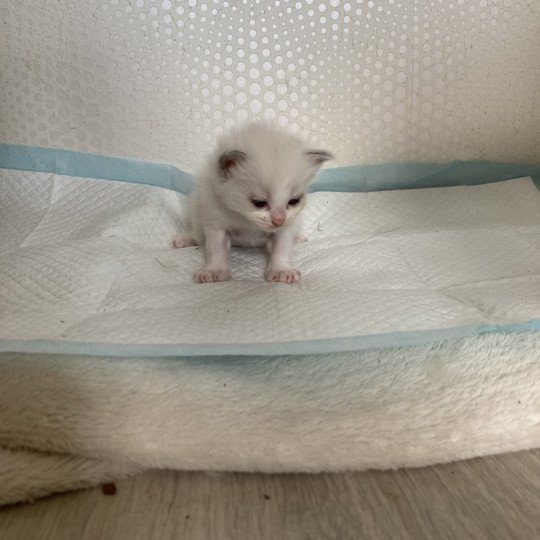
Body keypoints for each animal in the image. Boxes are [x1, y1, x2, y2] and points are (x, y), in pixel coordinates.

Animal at [173, 121, 334, 282]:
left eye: (294, 201)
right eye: (259, 203)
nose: (279, 220)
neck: (247, 221)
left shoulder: (285, 227)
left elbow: (282, 247)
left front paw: (282, 270)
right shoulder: (215, 220)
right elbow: (216, 249)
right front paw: (214, 270)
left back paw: (298, 237)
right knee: (199, 235)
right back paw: (185, 239)